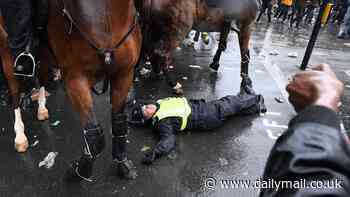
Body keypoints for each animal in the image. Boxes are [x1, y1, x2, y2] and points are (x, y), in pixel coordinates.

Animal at [1, 0, 141, 182]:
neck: (105, 15)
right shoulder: (76, 80)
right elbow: (94, 137)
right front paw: (78, 170)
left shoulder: (124, 74)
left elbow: (119, 123)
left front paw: (122, 163)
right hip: (7, 52)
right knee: (15, 93)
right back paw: (20, 136)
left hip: (45, 55)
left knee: (41, 78)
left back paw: (41, 109)